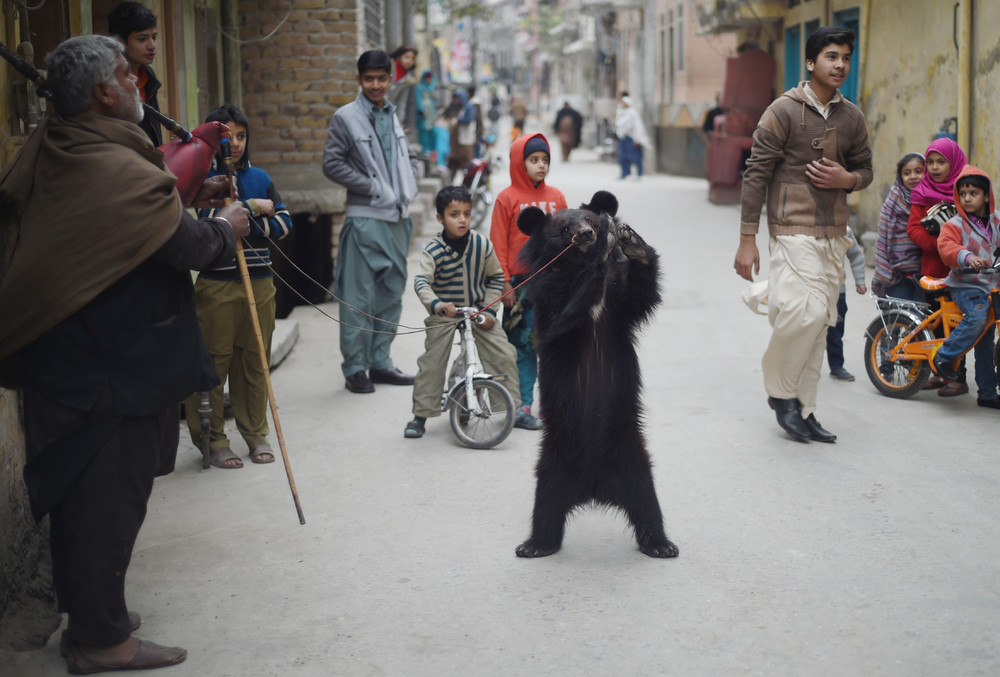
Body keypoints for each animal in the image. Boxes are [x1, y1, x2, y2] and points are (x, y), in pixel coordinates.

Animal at [512, 187, 676, 556]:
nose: (587, 234)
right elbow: (561, 316)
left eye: (587, 219)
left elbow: (640, 295)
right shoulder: (547, 291)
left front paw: (631, 240)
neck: (579, 264)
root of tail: (593, 487)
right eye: (564, 229)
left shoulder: (620, 302)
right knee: (545, 504)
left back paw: (661, 544)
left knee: (647, 502)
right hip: (553, 459)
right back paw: (534, 545)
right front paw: (606, 245)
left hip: (634, 457)